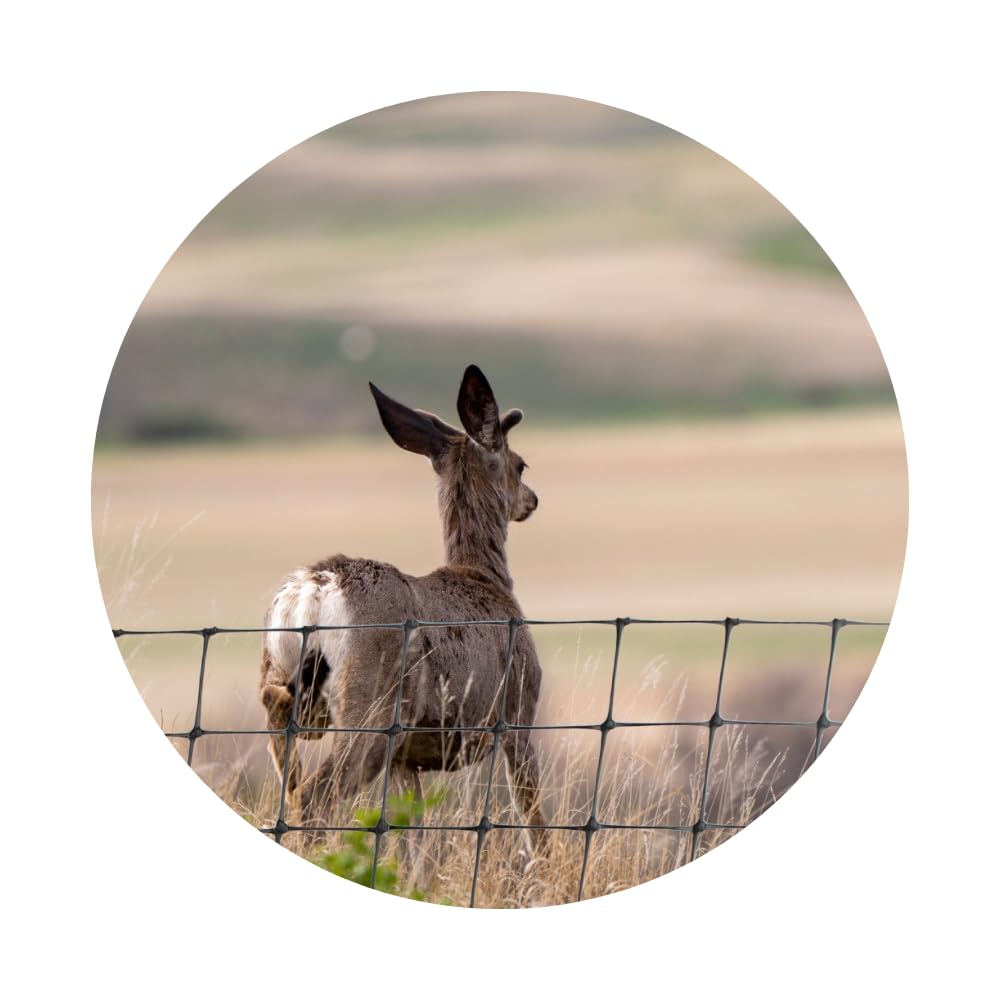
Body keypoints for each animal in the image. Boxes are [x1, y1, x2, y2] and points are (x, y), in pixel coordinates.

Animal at [258, 365, 547, 856]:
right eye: (520, 463)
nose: (532, 499)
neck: (486, 578)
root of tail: (315, 587)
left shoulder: (407, 757)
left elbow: (412, 839)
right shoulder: (518, 713)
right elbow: (536, 823)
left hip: (289, 679)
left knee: (283, 745)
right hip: (370, 704)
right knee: (315, 793)